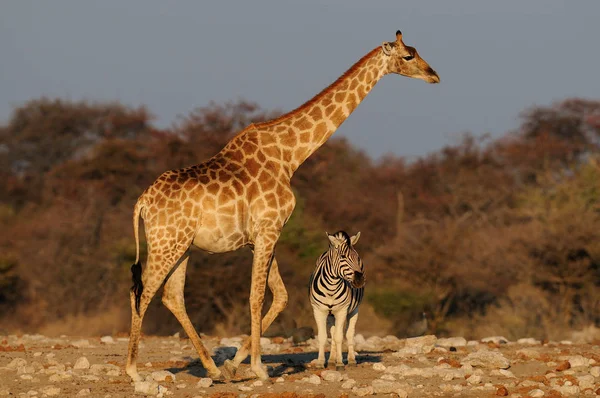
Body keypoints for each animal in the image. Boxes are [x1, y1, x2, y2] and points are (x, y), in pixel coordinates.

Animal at [310, 230, 366, 370]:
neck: (331, 286)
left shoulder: (342, 311)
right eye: (342, 257)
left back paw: (351, 360)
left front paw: (340, 362)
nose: (359, 280)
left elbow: (339, 337)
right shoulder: (318, 311)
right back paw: (331, 360)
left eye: (357, 257)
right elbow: (323, 337)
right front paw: (320, 362)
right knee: (333, 333)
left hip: (354, 310)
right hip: (330, 315)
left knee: (349, 334)